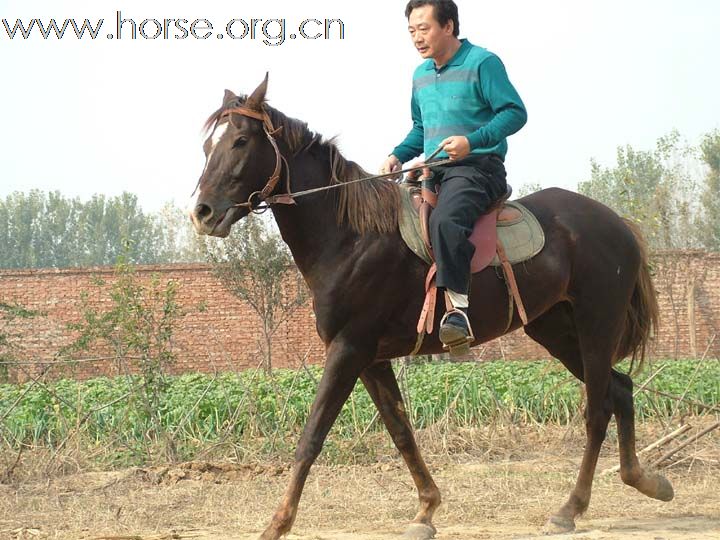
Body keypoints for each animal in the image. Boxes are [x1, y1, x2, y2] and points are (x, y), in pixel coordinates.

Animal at [188, 77, 672, 540]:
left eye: (241, 141)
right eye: (209, 146)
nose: (203, 213)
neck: (350, 235)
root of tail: (619, 224)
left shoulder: (348, 349)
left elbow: (312, 436)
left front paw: (278, 523)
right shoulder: (370, 358)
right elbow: (401, 431)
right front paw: (426, 509)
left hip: (596, 324)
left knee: (597, 410)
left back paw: (569, 509)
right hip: (557, 331)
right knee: (620, 390)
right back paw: (645, 480)